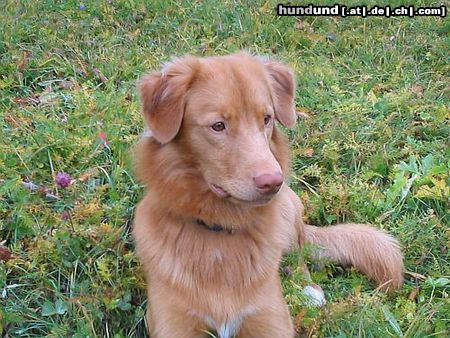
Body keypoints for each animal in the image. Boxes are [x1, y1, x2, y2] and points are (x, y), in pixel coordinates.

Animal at [132, 51, 402, 336]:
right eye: (218, 126)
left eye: (266, 119)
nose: (273, 182)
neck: (220, 231)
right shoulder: (174, 324)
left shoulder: (269, 319)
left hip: (290, 209)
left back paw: (309, 290)